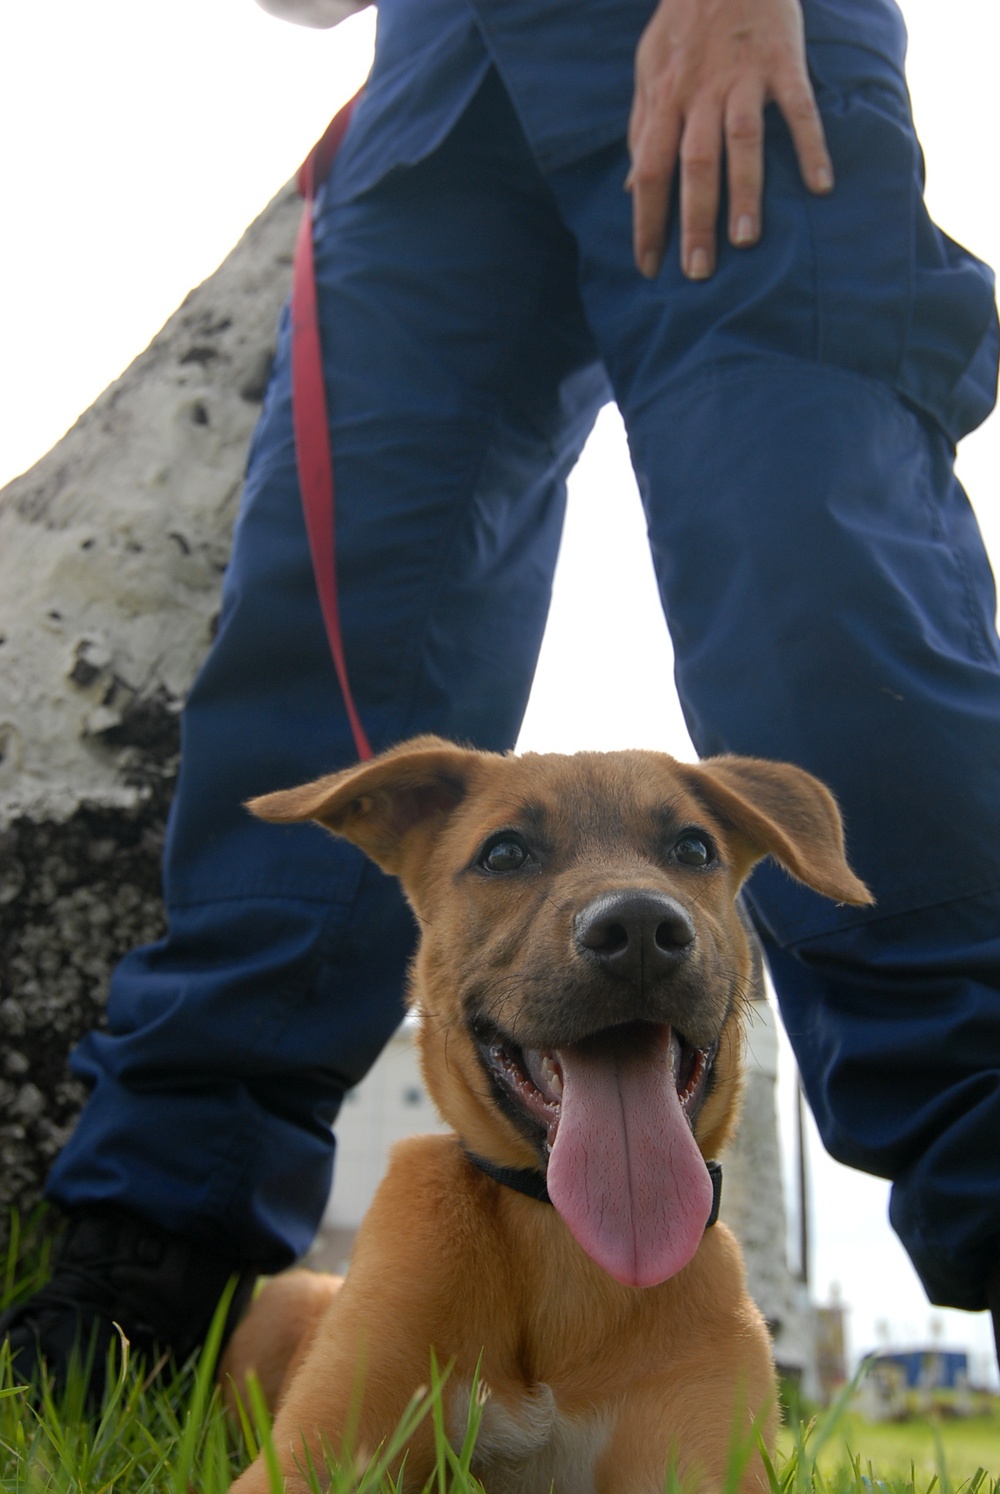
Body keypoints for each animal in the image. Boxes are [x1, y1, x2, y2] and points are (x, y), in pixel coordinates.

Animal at [222, 738, 866, 1494]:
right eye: (503, 854)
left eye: (694, 848)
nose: (640, 928)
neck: (563, 1241)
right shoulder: (310, 1455)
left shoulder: (704, 1456)